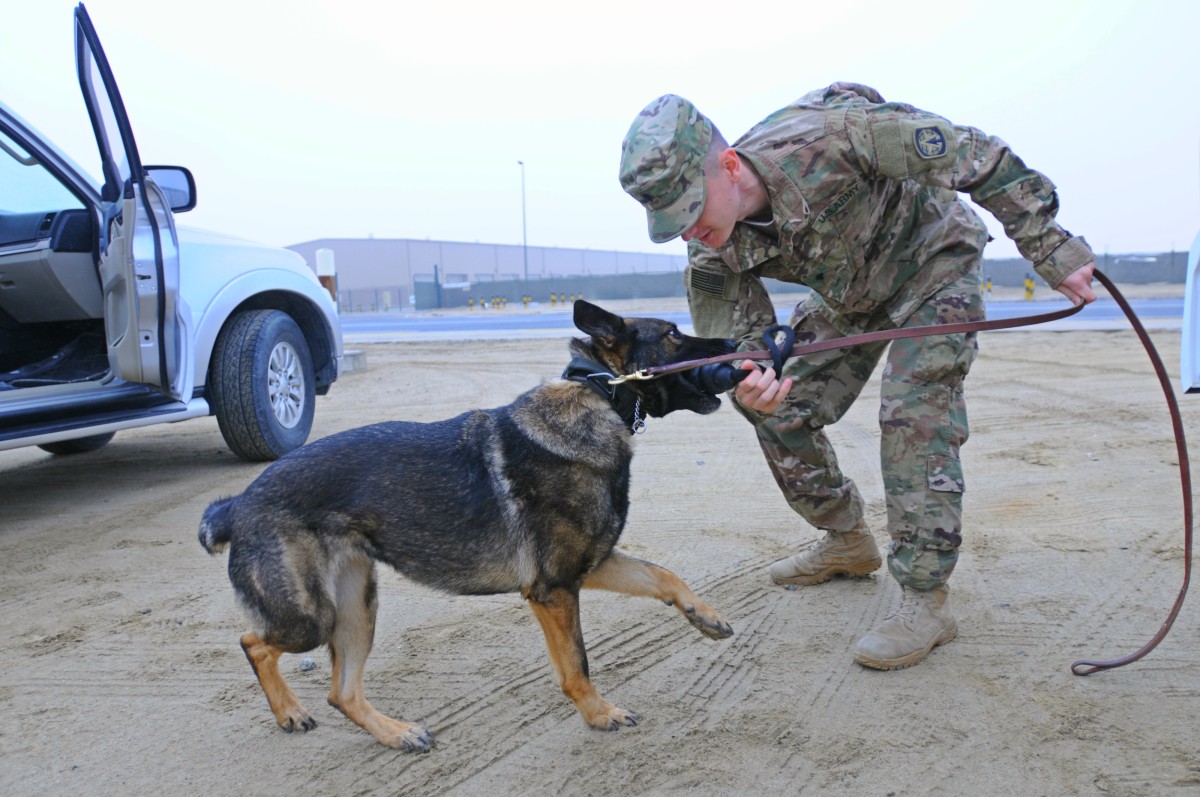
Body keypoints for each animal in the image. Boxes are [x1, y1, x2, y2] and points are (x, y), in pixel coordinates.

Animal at [196, 300, 739, 753]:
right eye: (672, 334)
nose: (736, 344)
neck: (599, 393)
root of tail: (237, 505)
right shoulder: (554, 590)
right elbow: (577, 666)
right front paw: (599, 714)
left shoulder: (588, 567)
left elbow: (664, 575)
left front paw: (705, 615)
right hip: (311, 619)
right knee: (253, 643)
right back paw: (290, 711)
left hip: (355, 610)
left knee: (341, 692)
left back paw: (395, 733)